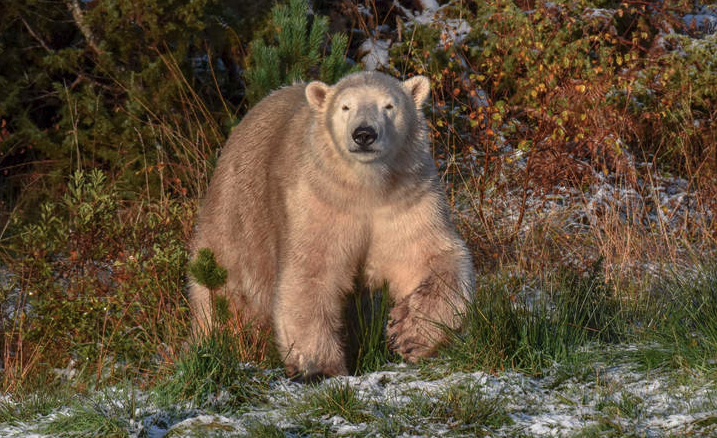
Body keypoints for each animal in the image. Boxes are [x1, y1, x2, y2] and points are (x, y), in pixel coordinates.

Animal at [189, 71, 476, 380]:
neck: (366, 186)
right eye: (345, 106)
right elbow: (311, 271)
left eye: (389, 105)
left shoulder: (406, 198)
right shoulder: (320, 199)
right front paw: (320, 367)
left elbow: (431, 257)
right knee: (223, 295)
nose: (364, 134)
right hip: (237, 221)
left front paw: (408, 332)